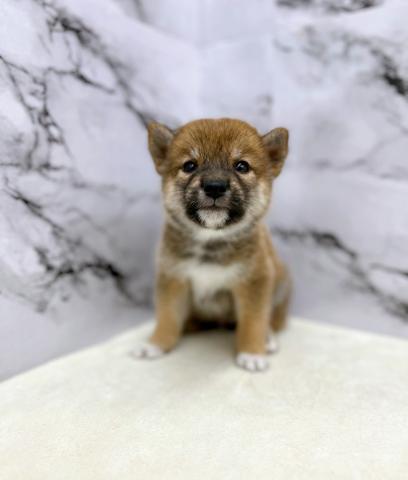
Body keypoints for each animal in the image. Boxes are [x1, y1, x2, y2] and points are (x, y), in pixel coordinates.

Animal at [134, 118, 290, 374]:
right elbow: (167, 315)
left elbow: (254, 320)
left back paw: (268, 339)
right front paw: (156, 343)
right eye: (189, 165)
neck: (210, 240)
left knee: (273, 319)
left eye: (241, 166)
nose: (214, 186)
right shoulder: (173, 277)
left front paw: (252, 352)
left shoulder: (255, 281)